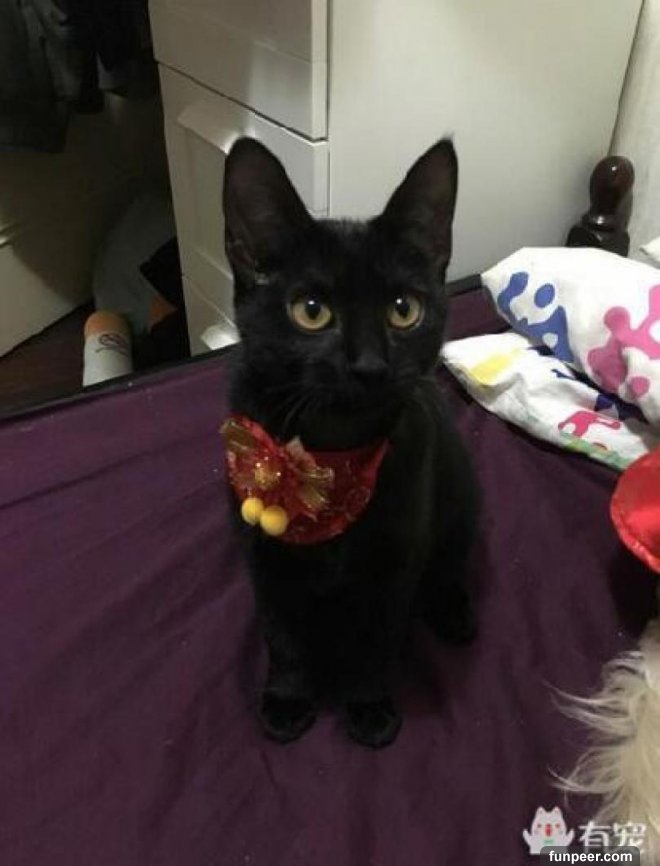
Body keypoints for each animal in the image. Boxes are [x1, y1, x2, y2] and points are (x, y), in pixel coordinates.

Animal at [222, 137, 478, 748]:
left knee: (453, 558)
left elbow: (377, 639)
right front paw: (289, 699)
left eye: (404, 310)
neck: (331, 459)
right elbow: (281, 633)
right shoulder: (264, 558)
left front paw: (369, 706)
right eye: (311, 311)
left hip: (460, 499)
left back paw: (453, 610)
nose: (369, 366)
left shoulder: (395, 563)